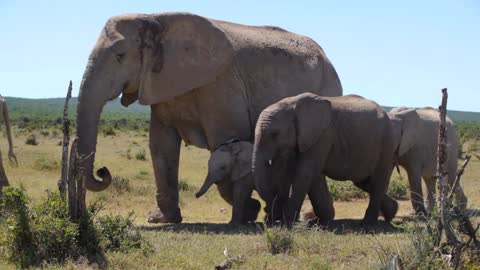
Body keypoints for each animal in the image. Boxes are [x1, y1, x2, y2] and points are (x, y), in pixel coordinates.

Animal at [77, 12, 344, 224]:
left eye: (121, 55)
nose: (103, 171)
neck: (157, 20)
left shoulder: (221, 84)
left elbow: (224, 141)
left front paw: (250, 212)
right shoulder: (161, 84)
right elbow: (161, 145)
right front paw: (163, 219)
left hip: (328, 88)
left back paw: (309, 218)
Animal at [253, 93, 400, 226]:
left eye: (274, 134)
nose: (267, 211)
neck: (291, 104)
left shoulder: (322, 136)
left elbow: (304, 174)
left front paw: (285, 222)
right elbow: (299, 174)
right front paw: (318, 222)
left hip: (386, 144)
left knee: (378, 181)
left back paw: (368, 224)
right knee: (364, 181)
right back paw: (391, 213)